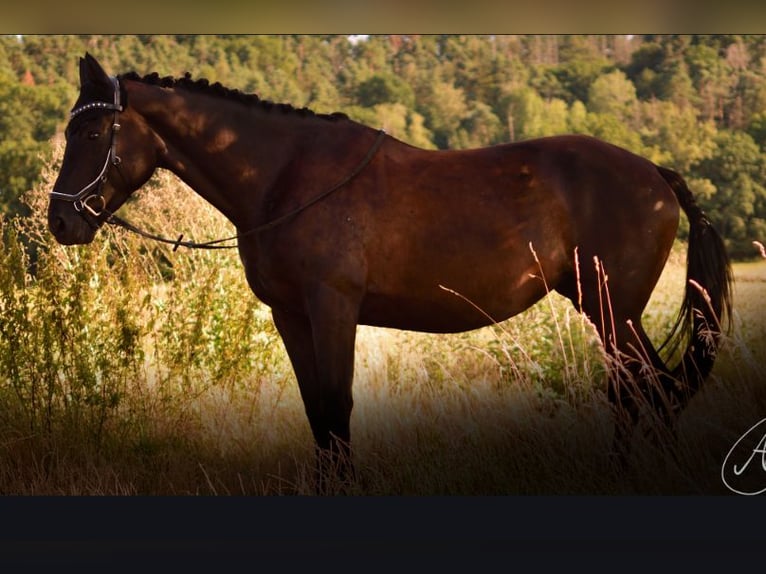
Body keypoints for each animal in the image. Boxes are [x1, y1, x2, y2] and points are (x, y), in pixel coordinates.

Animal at [48, 53, 732, 486]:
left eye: (93, 132)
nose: (61, 222)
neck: (286, 177)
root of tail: (655, 175)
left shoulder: (332, 308)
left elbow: (336, 404)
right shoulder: (292, 315)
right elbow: (316, 413)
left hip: (613, 309)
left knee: (649, 387)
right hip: (607, 310)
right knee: (641, 389)